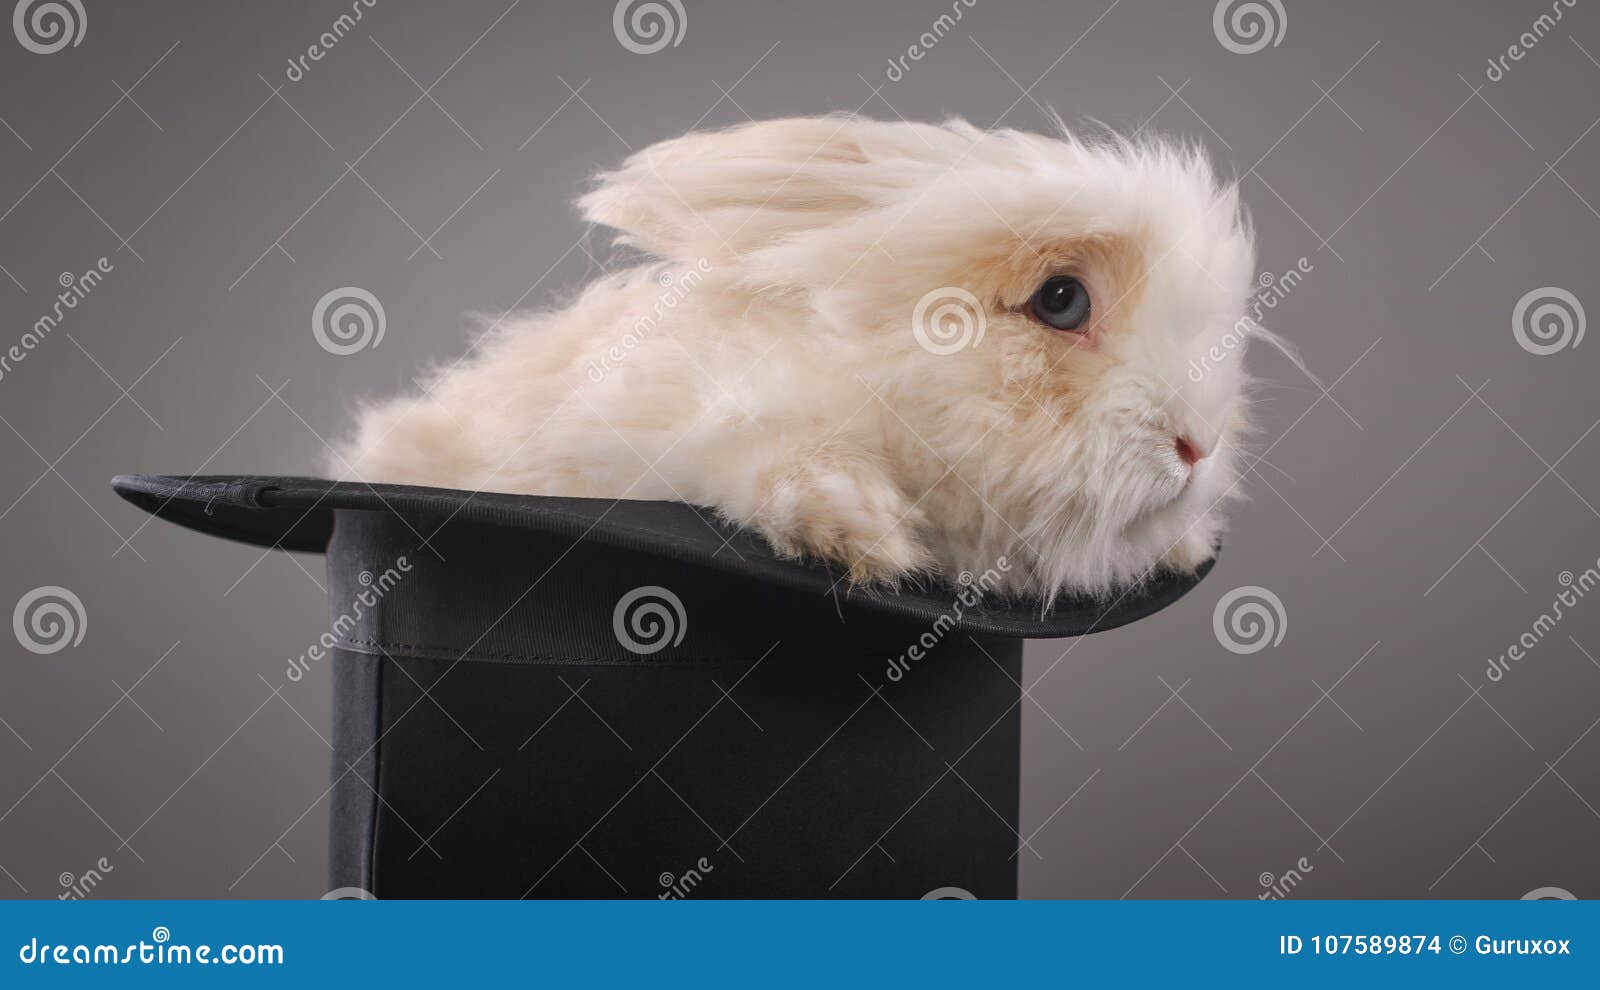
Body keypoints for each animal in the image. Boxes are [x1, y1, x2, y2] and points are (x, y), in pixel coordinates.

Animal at [337, 116, 1279, 603]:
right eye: (1061, 300)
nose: (1198, 448)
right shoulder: (703, 431)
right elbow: (778, 465)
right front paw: (864, 536)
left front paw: (1182, 545)